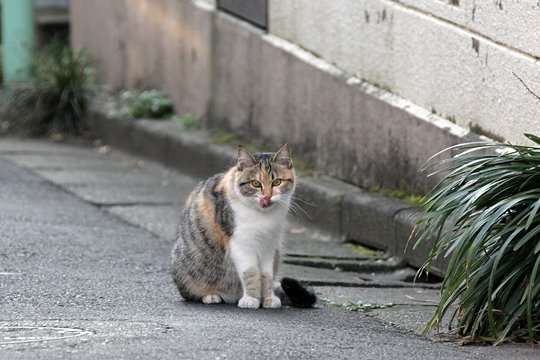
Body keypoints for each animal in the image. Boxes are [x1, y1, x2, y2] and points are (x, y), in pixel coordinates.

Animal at [171, 145, 316, 308]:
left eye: (277, 182)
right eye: (255, 183)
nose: (267, 197)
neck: (263, 217)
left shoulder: (269, 245)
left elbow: (266, 275)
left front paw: (268, 298)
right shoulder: (240, 244)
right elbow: (250, 273)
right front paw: (251, 299)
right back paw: (211, 295)